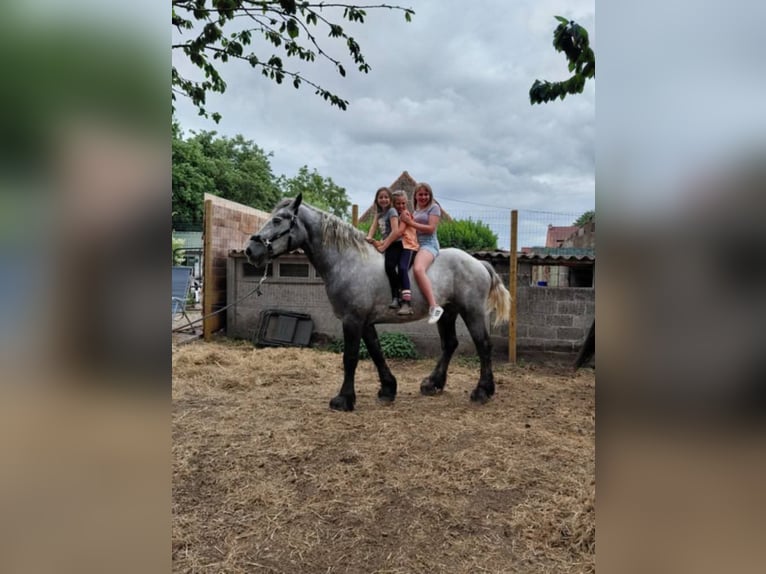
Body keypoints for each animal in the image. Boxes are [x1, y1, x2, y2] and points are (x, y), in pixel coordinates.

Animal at [244, 194, 511, 411]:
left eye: (279, 220)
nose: (251, 249)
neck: (348, 261)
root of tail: (479, 263)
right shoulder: (365, 321)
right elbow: (376, 352)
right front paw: (388, 389)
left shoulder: (352, 320)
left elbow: (350, 357)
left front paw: (344, 399)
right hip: (447, 312)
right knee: (450, 344)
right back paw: (433, 384)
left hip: (472, 311)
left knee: (483, 345)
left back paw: (482, 391)